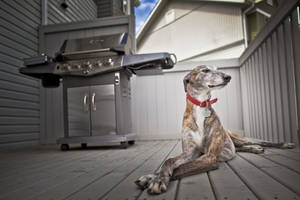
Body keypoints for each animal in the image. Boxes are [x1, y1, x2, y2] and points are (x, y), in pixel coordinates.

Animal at [135, 65, 294, 194]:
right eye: (205, 70)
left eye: (217, 68)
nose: (228, 76)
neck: (200, 105)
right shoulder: (190, 152)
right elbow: (168, 161)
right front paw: (153, 177)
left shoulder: (209, 156)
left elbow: (181, 168)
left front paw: (156, 180)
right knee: (238, 149)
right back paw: (254, 149)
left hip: (241, 138)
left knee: (262, 142)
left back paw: (283, 144)